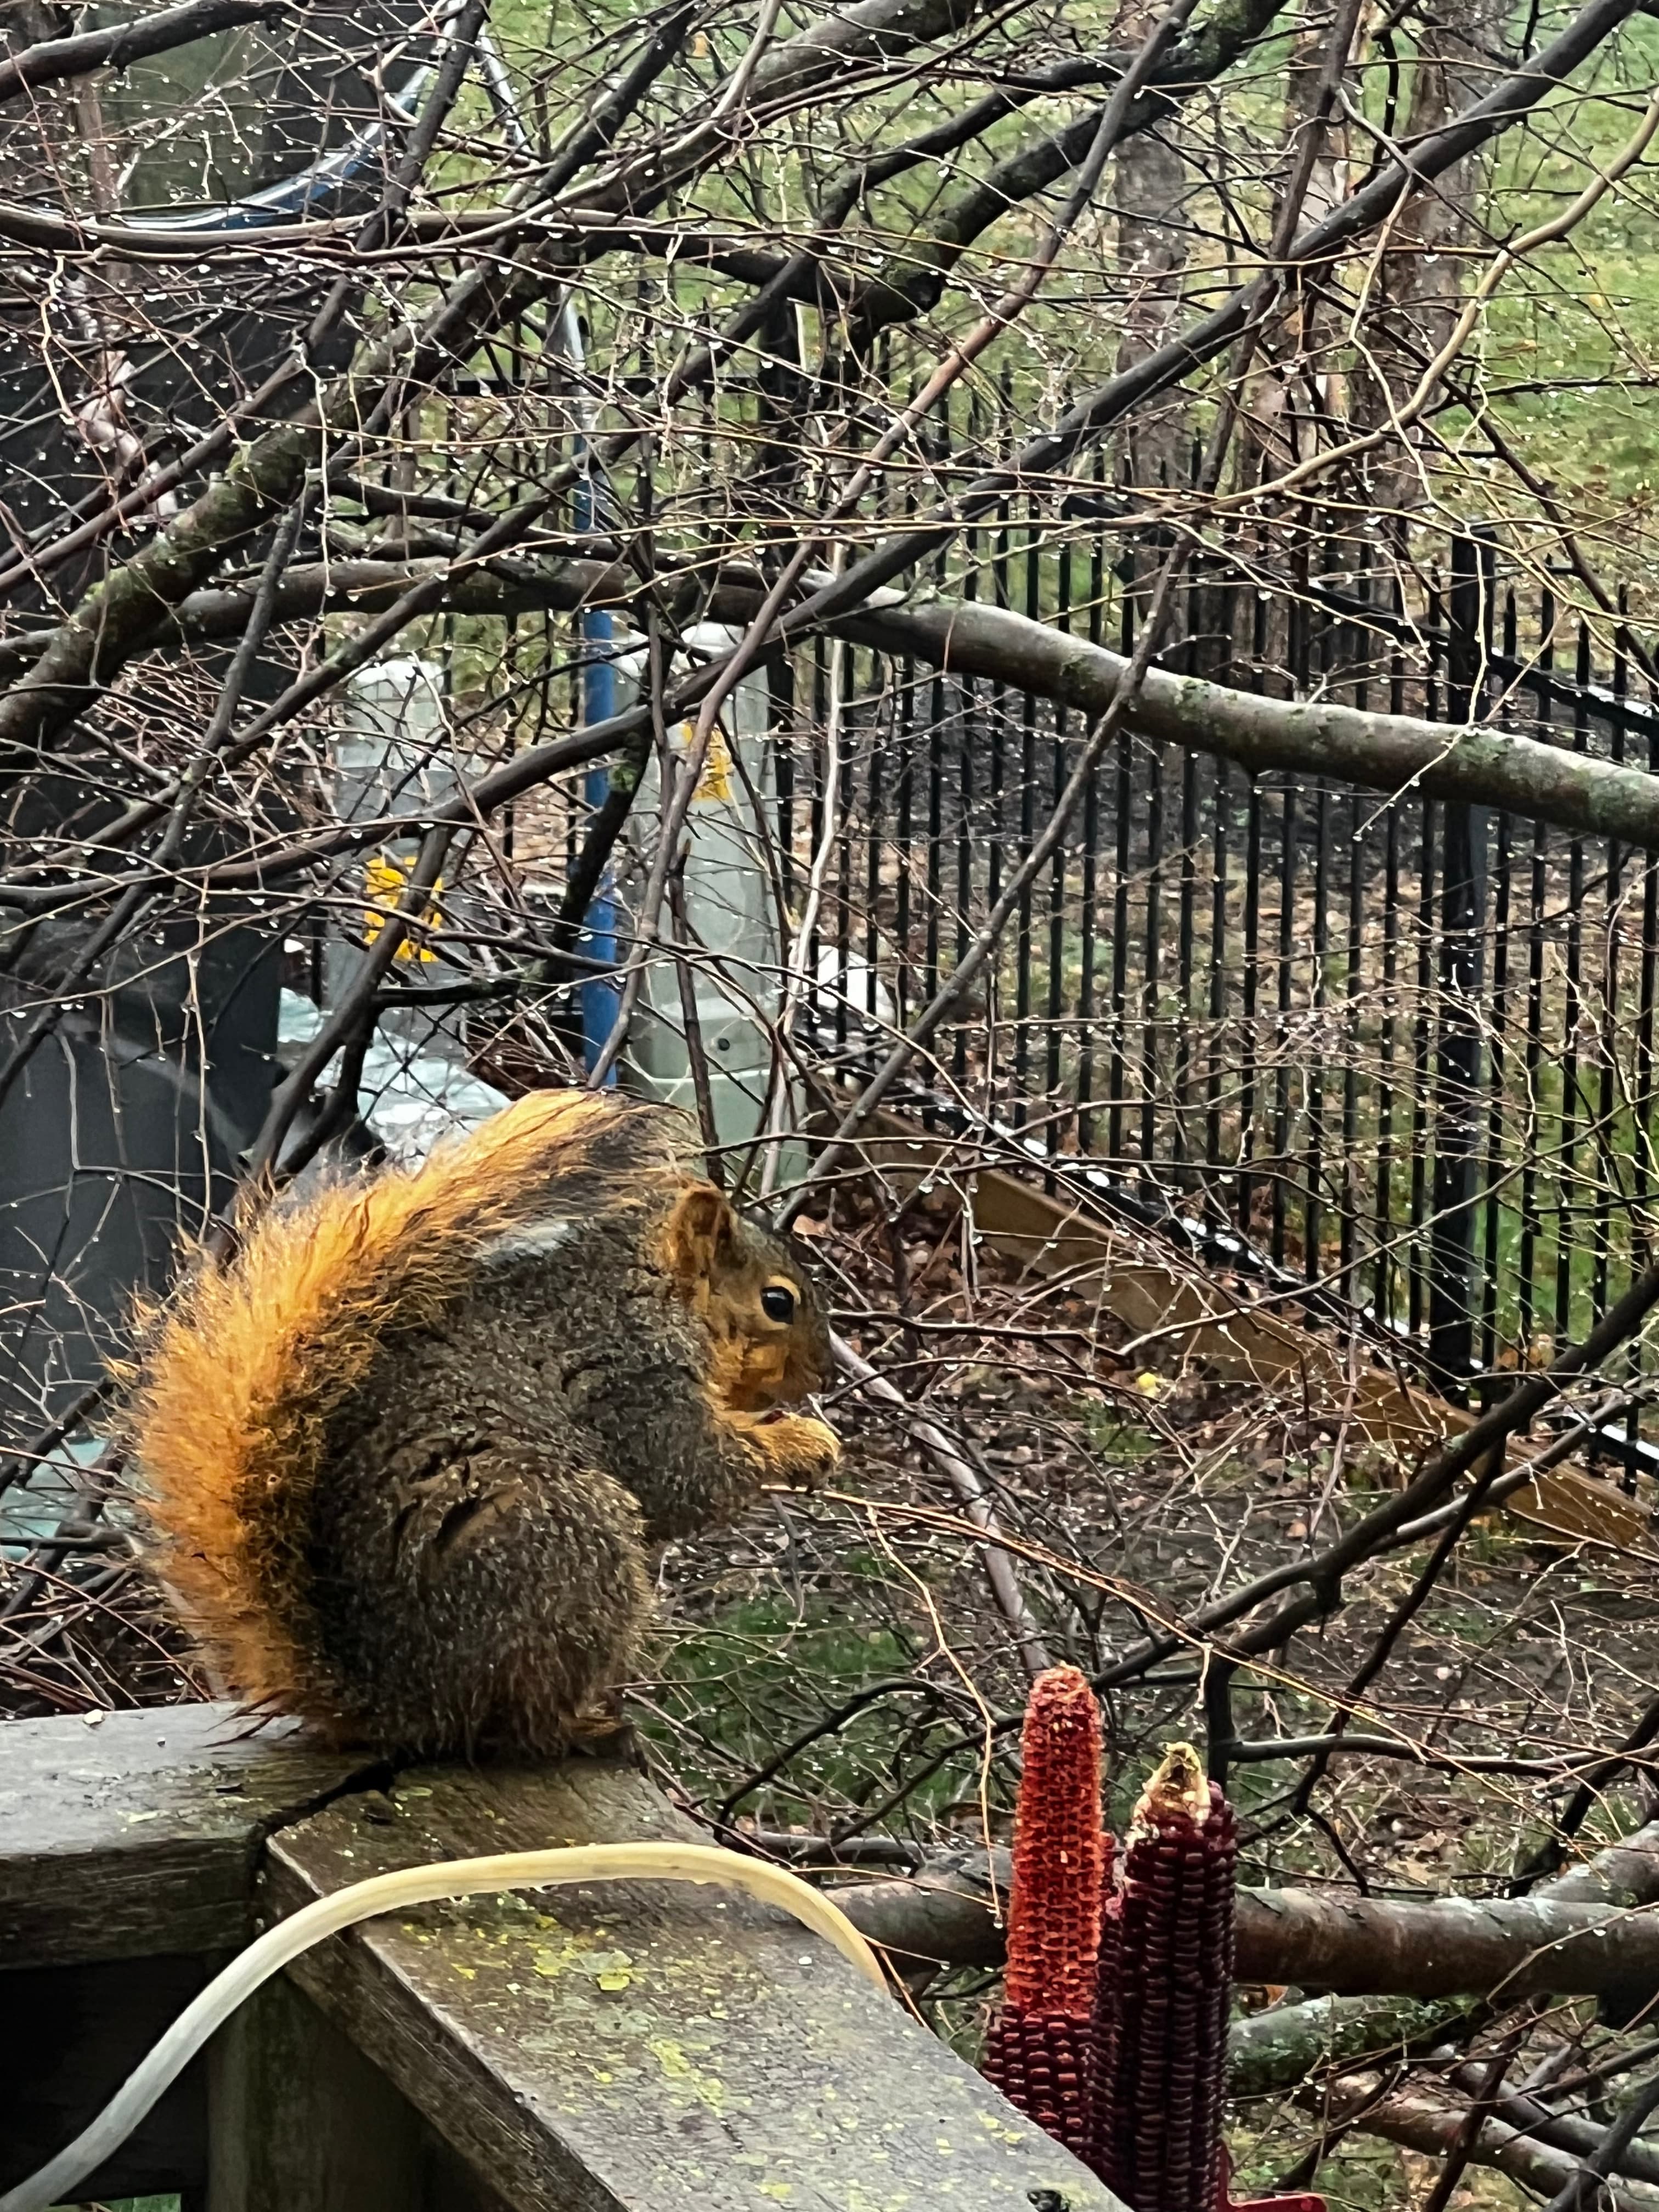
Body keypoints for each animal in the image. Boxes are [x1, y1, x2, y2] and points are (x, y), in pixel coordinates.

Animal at [126, 1090, 839, 1760]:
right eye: (778, 1303)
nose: (825, 1376)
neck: (653, 1291)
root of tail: (394, 1706)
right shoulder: (628, 1377)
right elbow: (688, 1475)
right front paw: (802, 1442)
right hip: (565, 1546)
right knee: (517, 1728)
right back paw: (585, 1729)